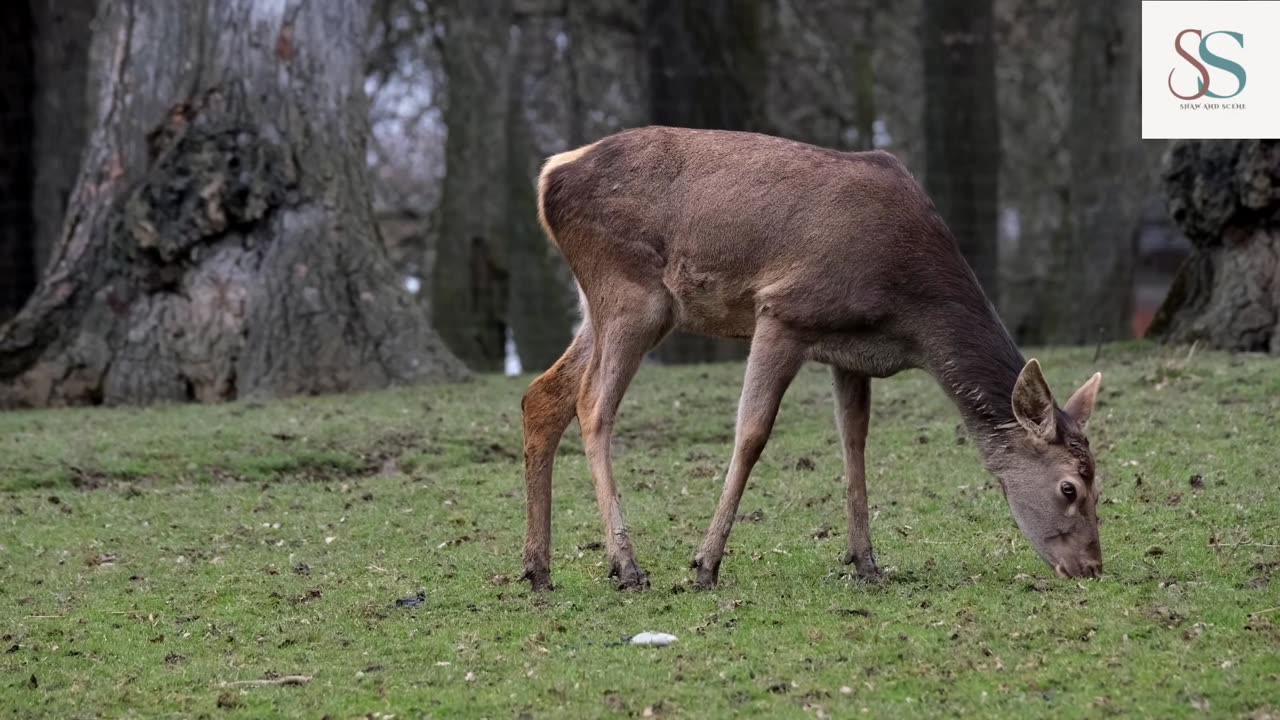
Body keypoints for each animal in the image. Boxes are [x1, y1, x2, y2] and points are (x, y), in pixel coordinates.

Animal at [519, 127, 1100, 589]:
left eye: (1100, 479)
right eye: (1069, 486)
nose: (1092, 567)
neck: (911, 316)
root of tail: (550, 175)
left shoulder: (853, 353)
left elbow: (854, 441)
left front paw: (867, 562)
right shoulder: (783, 311)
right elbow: (752, 433)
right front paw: (705, 564)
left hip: (604, 304)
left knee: (542, 395)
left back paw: (538, 568)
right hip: (633, 293)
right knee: (593, 405)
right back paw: (626, 564)